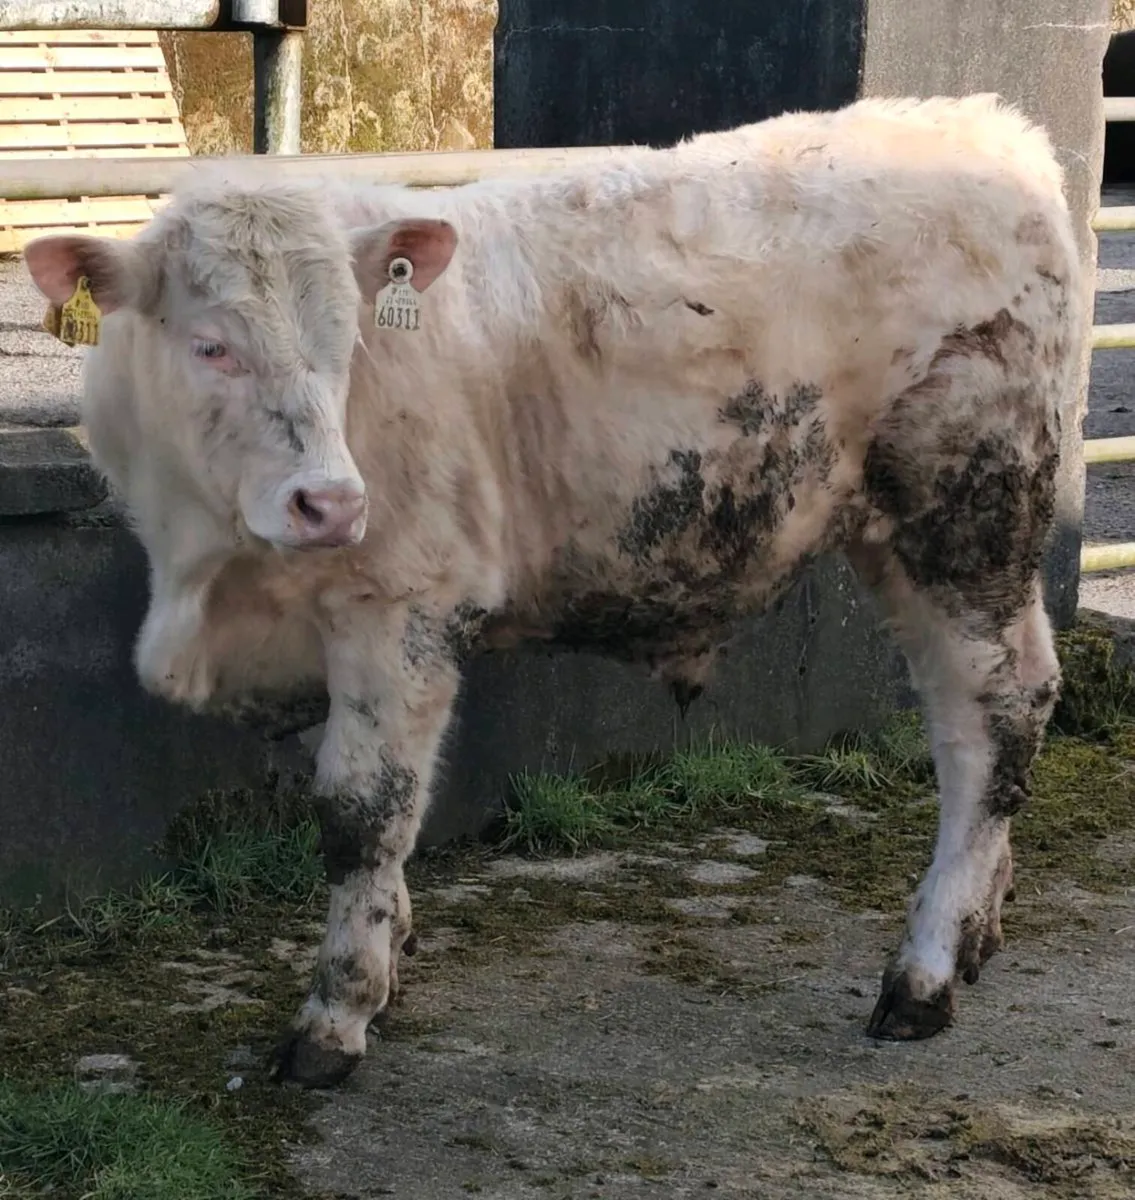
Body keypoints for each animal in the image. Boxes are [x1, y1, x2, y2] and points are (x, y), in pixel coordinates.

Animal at [24, 93, 1080, 1089]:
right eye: (211, 346)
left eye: (346, 340)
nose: (329, 503)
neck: (208, 572)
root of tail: (987, 128)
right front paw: (391, 951)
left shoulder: (401, 609)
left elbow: (366, 812)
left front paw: (338, 1014)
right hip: (903, 539)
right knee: (968, 717)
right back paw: (979, 927)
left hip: (969, 513)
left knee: (994, 716)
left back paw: (923, 974)